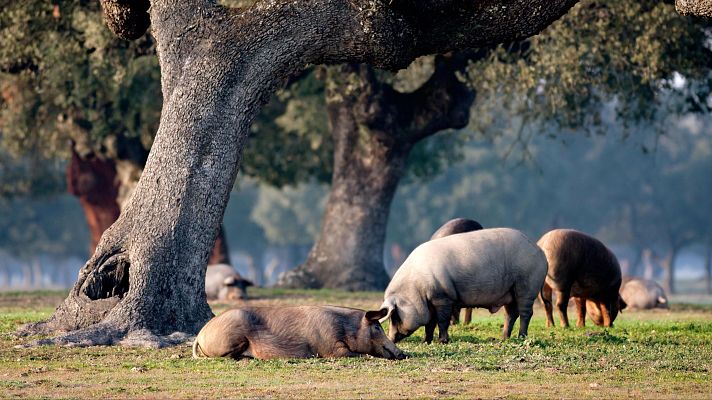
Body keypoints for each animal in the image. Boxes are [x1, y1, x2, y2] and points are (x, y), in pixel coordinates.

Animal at [192, 306, 406, 360]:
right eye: (377, 327)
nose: (403, 354)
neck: (345, 328)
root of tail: (200, 334)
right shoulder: (330, 347)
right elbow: (354, 354)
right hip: (232, 338)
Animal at [380, 227, 548, 344]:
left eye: (395, 316)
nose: (391, 339)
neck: (416, 288)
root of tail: (540, 252)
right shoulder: (431, 302)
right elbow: (430, 323)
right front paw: (425, 342)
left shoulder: (443, 297)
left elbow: (442, 321)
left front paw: (442, 341)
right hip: (510, 292)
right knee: (511, 314)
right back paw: (504, 338)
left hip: (527, 285)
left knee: (526, 313)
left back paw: (521, 337)